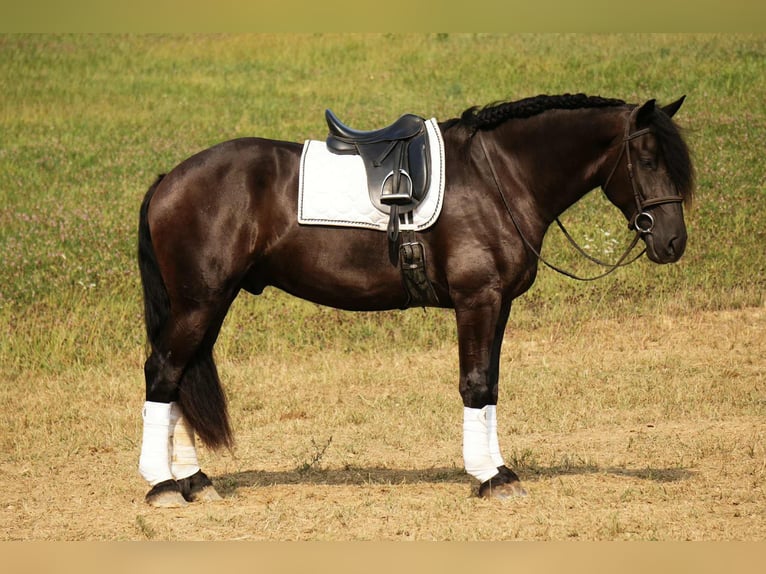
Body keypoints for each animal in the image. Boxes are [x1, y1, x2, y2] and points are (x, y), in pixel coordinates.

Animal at [137, 93, 695, 507]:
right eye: (648, 159)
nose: (673, 242)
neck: (498, 178)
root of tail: (170, 178)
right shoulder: (477, 301)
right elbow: (474, 385)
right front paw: (490, 477)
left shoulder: (500, 304)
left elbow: (491, 386)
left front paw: (500, 468)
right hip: (199, 303)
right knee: (163, 373)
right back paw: (163, 485)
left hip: (210, 303)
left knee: (181, 378)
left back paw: (195, 480)